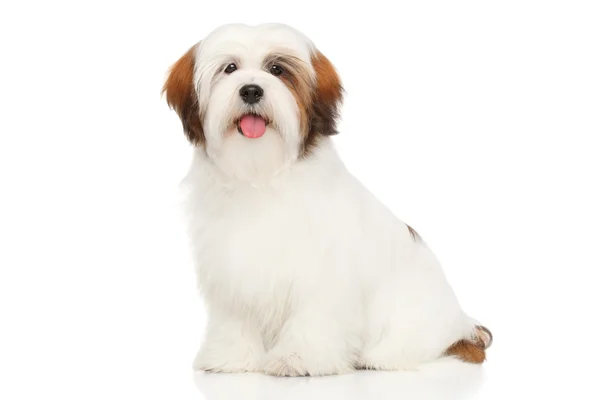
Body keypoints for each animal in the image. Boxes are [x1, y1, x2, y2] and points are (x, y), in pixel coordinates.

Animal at [162, 23, 490, 376]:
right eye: (230, 68)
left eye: (276, 69)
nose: (251, 91)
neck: (262, 174)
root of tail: (461, 327)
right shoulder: (233, 267)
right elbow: (237, 316)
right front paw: (232, 357)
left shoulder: (321, 272)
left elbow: (314, 314)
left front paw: (299, 358)